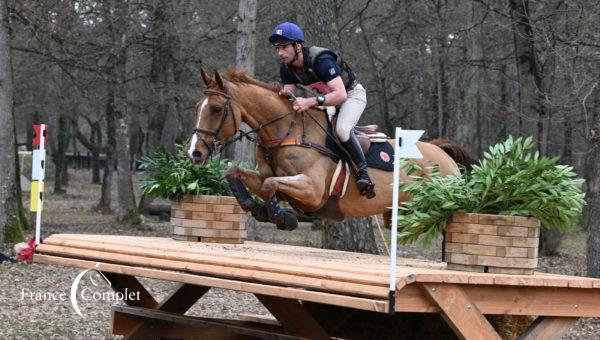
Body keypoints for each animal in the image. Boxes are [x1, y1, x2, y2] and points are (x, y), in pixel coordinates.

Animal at [186, 68, 468, 230]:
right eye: (197, 106)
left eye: (216, 109)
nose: (194, 153)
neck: (286, 132)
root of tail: (443, 154)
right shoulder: (269, 175)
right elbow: (236, 173)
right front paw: (255, 207)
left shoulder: (312, 190)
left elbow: (270, 186)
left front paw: (280, 216)